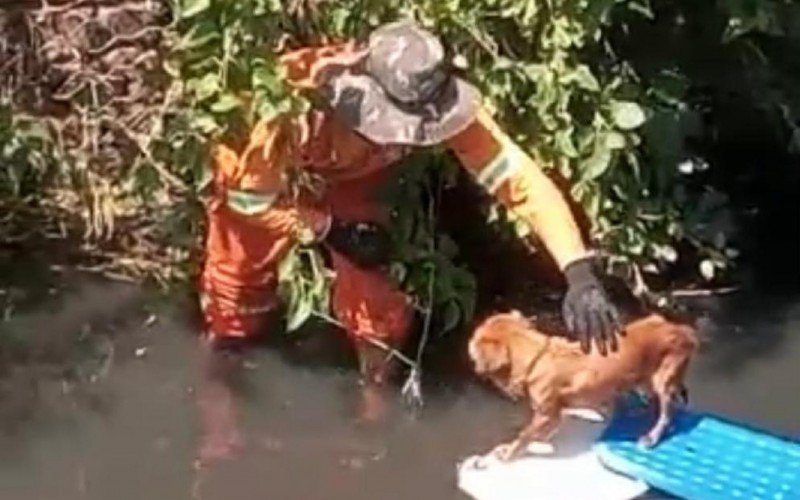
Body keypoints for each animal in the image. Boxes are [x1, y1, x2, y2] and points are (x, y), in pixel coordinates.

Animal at [466, 312, 696, 460]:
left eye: (474, 342)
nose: (467, 341)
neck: (537, 356)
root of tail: (682, 330)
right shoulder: (552, 416)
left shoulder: (547, 415)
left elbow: (525, 435)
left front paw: (508, 452)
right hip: (646, 379)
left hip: (662, 381)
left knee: (667, 413)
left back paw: (652, 435)